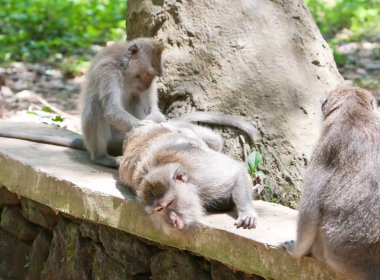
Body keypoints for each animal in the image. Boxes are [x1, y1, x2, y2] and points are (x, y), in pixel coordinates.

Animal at [117, 121, 256, 233]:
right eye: (159, 209)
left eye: (170, 203)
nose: (172, 221)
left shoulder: (202, 176)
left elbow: (237, 171)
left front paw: (247, 212)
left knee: (213, 141)